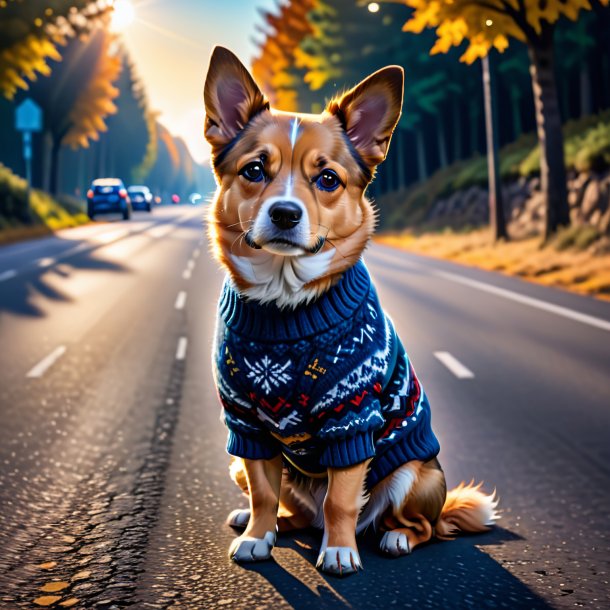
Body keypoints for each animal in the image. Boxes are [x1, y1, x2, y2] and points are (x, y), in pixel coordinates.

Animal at [202, 45, 496, 572]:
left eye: (327, 179)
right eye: (254, 170)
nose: (285, 213)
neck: (286, 304)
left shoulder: (352, 420)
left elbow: (341, 498)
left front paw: (339, 552)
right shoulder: (245, 426)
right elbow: (262, 491)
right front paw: (257, 536)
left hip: (413, 475)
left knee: (415, 525)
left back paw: (392, 537)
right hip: (243, 463)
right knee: (293, 511)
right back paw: (270, 524)